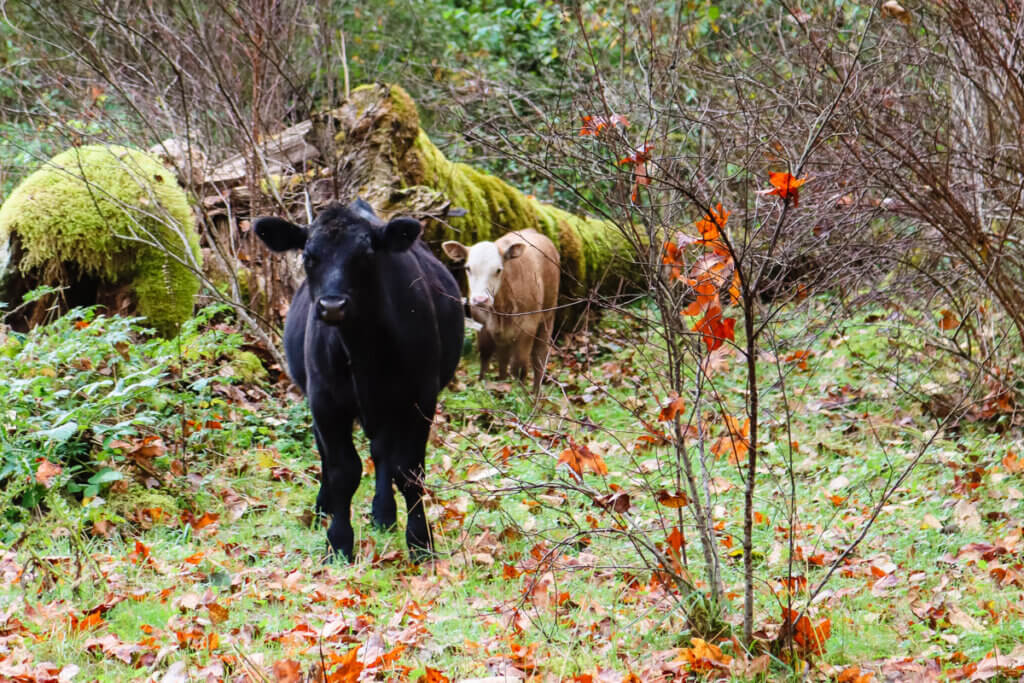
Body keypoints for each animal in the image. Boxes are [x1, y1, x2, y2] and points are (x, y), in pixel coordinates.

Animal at [253, 197, 466, 561]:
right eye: (308, 256)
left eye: (366, 254)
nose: (332, 305)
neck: (362, 345)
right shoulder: (325, 401)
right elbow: (343, 471)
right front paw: (338, 542)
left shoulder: (419, 398)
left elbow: (408, 471)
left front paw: (420, 542)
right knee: (329, 455)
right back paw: (323, 508)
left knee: (382, 453)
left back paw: (384, 513)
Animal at [444, 228, 561, 393]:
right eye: (468, 268)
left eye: (498, 270)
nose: (480, 299)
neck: (501, 307)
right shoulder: (482, 324)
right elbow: (485, 355)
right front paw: (483, 384)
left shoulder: (528, 326)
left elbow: (519, 366)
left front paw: (520, 394)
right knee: (503, 360)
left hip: (548, 317)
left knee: (539, 357)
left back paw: (536, 393)